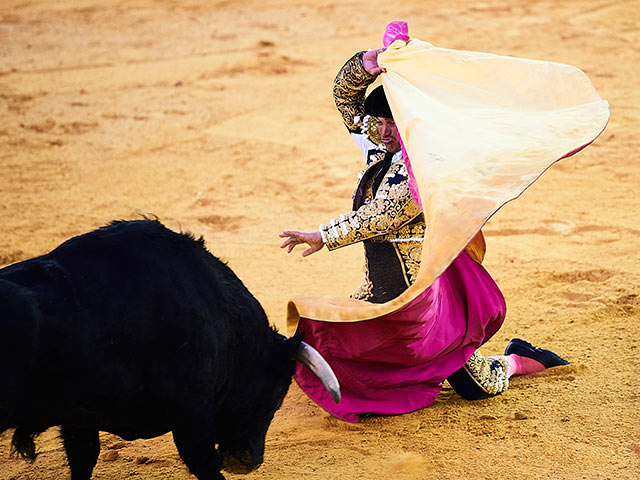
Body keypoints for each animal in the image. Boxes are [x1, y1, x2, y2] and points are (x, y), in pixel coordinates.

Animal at [0, 219, 340, 478]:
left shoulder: (78, 418)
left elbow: (84, 459)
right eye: (277, 392)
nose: (249, 461)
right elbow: (204, 464)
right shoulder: (191, 412)